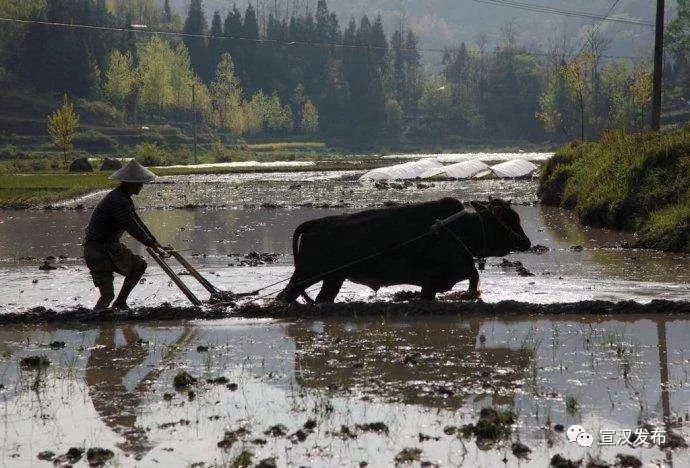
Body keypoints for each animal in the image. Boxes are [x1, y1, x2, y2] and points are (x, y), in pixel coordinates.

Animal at [276, 197, 528, 304]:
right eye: (508, 219)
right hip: (307, 274)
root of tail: (315, 223)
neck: (460, 229)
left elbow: (474, 278)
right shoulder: (435, 280)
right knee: (284, 295)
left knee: (321, 298)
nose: (526, 242)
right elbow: (474, 277)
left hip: (333, 279)